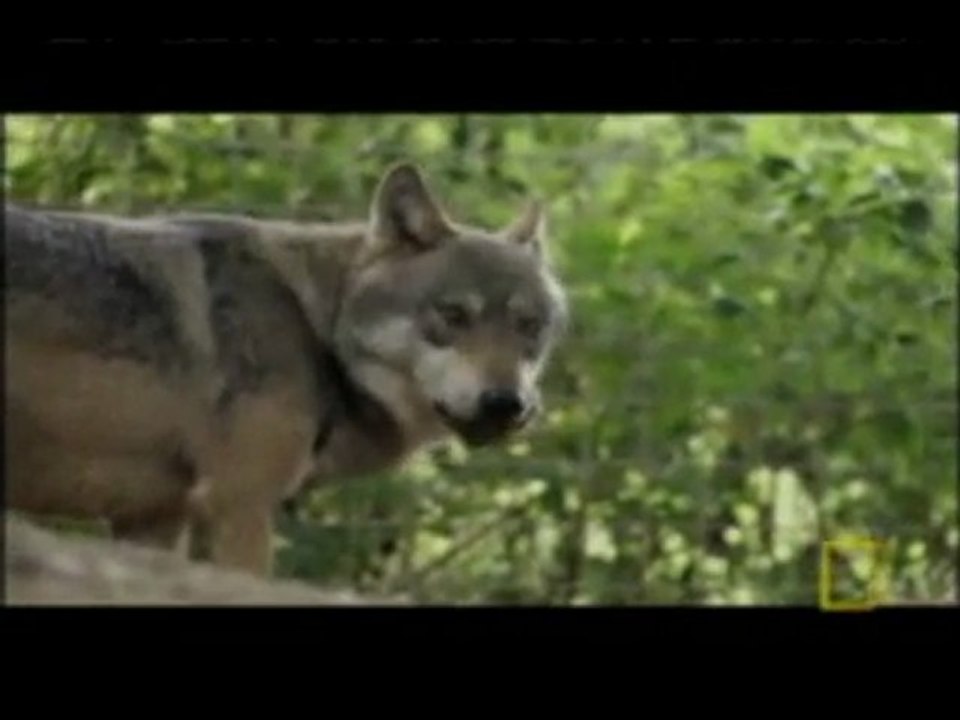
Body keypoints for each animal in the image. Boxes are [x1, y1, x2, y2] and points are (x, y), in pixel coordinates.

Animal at [4, 163, 568, 577]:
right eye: (452, 316)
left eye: (530, 327)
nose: (506, 403)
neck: (313, 322)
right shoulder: (240, 504)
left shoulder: (152, 520)